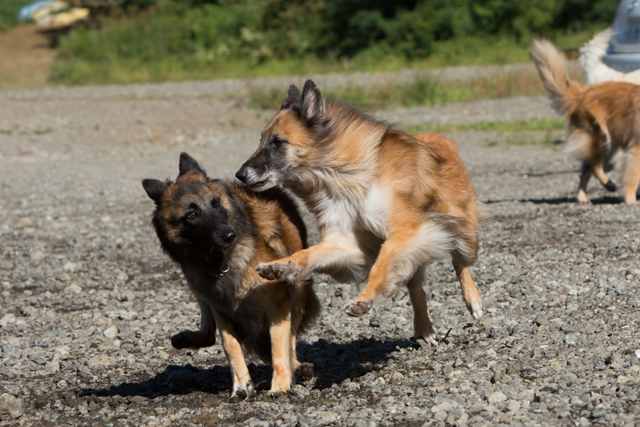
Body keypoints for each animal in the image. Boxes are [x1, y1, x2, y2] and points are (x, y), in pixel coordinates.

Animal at [236, 81, 484, 348]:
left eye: (277, 142)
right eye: (262, 140)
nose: (240, 175)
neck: (342, 176)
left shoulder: (408, 232)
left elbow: (380, 265)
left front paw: (362, 300)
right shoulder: (347, 241)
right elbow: (306, 254)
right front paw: (279, 267)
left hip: (462, 232)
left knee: (460, 262)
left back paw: (473, 301)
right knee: (416, 286)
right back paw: (424, 329)